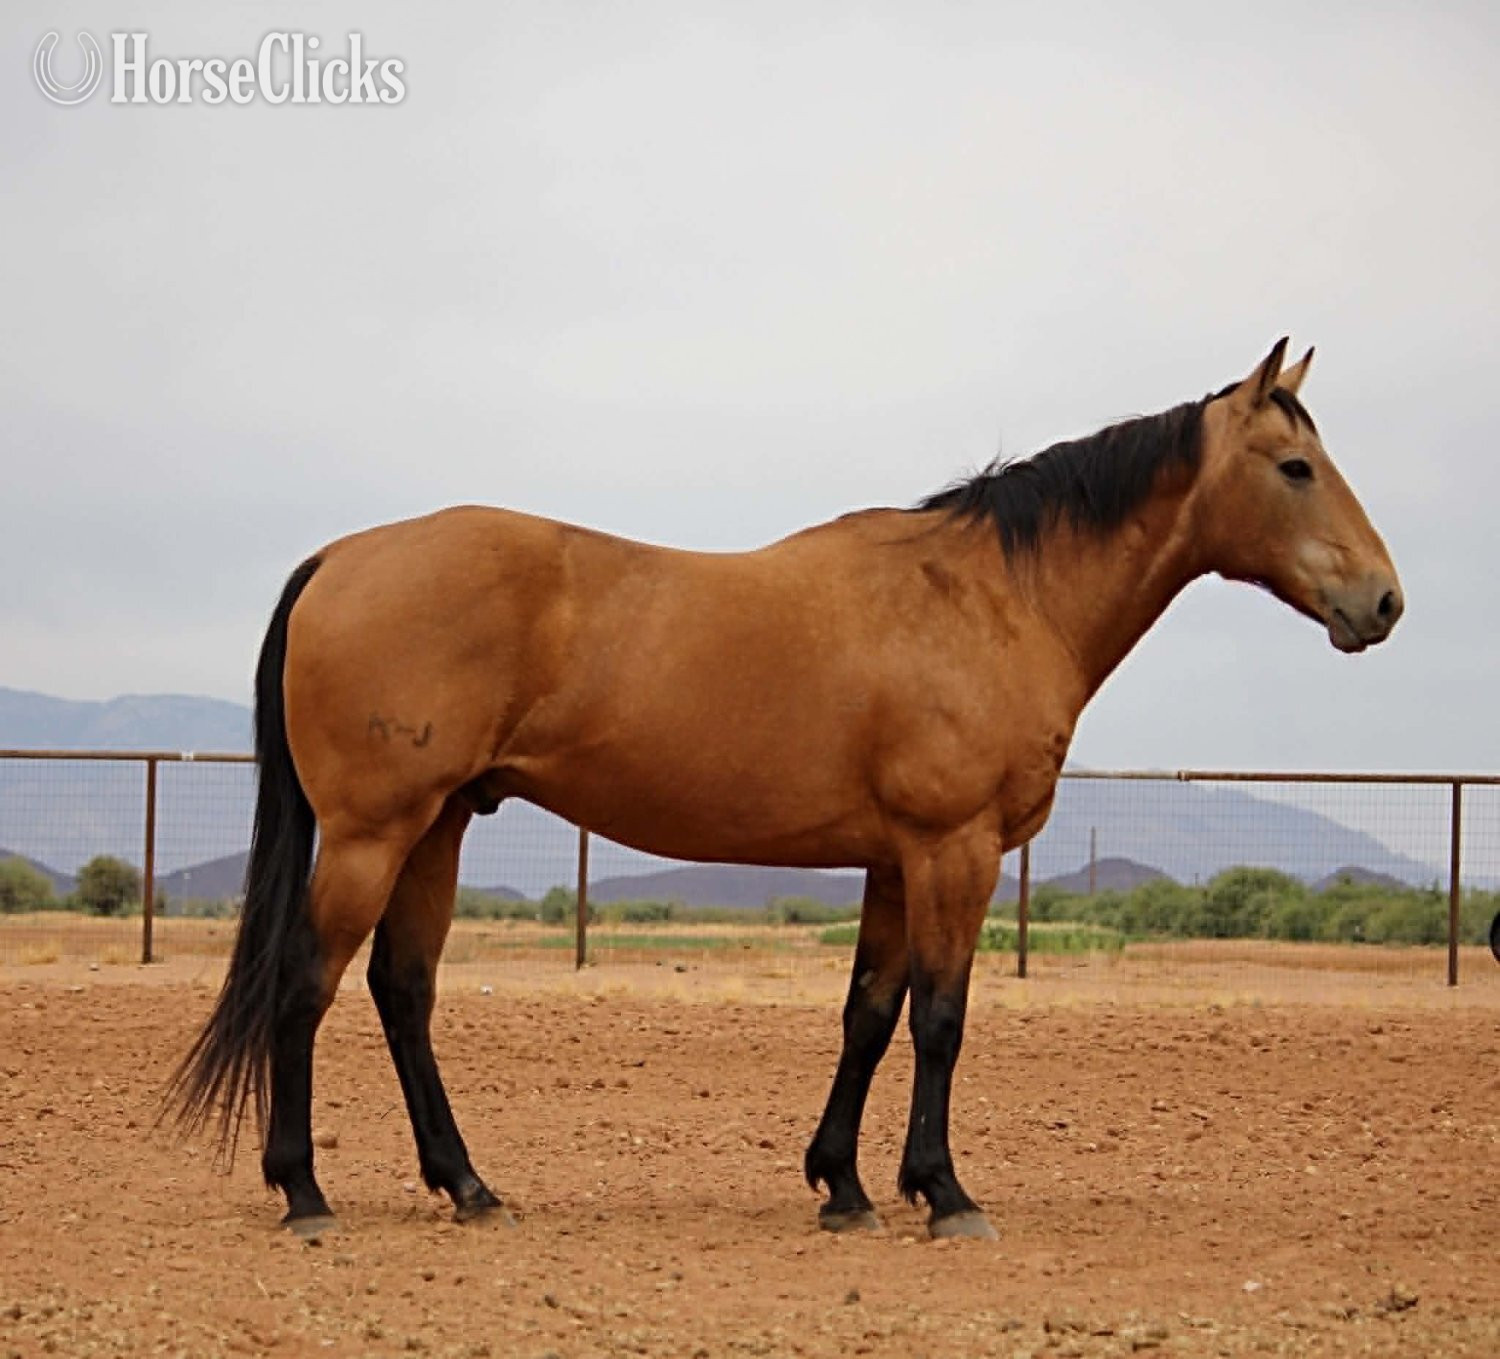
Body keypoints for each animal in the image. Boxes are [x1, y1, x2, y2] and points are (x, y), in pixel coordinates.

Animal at [170, 339, 1402, 1241]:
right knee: (307, 983)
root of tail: (341, 556)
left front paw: (845, 1188)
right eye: (1295, 468)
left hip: (436, 828)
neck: (990, 597)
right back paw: (305, 1194)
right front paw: (945, 1194)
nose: (1383, 601)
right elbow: (942, 1019)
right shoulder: (953, 849)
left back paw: (469, 1186)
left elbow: (869, 1014)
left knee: (403, 989)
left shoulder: (895, 860)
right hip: (373, 833)